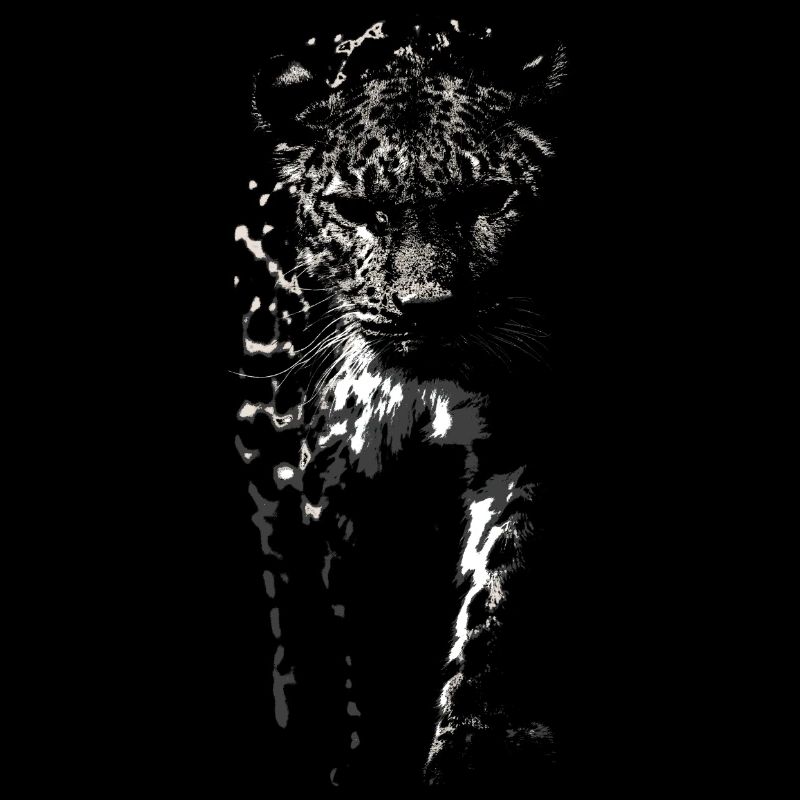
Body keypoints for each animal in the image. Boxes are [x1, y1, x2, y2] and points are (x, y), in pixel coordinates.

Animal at [232, 17, 569, 790]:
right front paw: (363, 758)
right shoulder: (330, 476)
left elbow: (494, 605)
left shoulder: (517, 450)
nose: (427, 309)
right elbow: (356, 626)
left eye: (490, 199)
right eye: (357, 210)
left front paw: (470, 753)